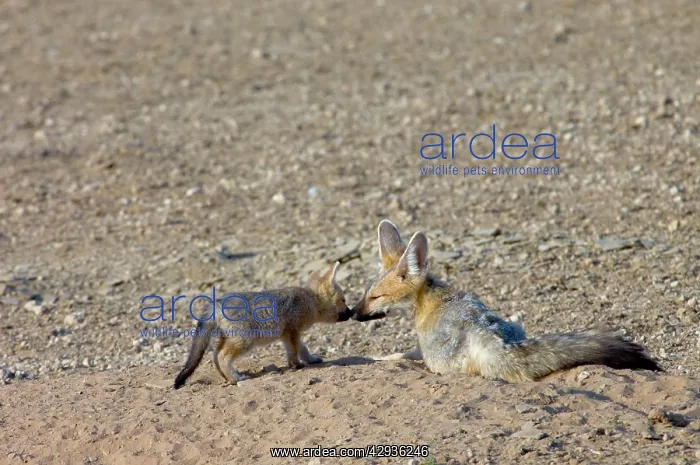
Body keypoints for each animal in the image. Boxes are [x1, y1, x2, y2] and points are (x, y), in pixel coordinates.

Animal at [174, 262, 353, 389]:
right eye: (343, 300)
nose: (351, 313)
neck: (309, 300)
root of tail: (215, 306)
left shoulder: (288, 333)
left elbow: (302, 349)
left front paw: (310, 359)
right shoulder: (293, 331)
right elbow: (295, 351)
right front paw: (296, 364)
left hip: (224, 340)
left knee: (215, 358)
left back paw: (228, 376)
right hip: (244, 341)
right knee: (222, 357)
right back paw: (235, 378)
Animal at [351, 220, 663, 382]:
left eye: (375, 296)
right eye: (366, 293)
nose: (353, 313)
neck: (430, 294)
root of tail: (484, 332)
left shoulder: (422, 348)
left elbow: (396, 355)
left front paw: (377, 357)